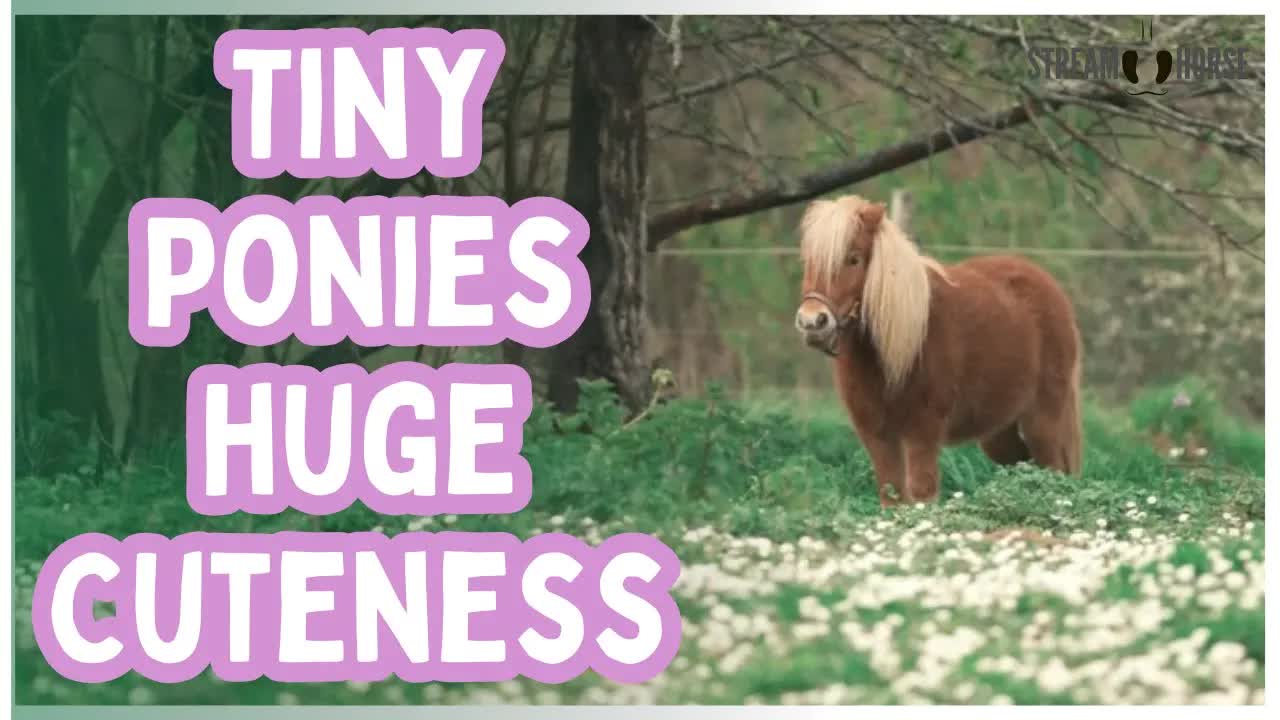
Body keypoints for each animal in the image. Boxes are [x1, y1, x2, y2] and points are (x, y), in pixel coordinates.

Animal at [793, 194, 1083, 506]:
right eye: (808, 261)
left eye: (853, 259)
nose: (812, 322)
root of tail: (1050, 287)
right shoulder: (877, 436)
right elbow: (892, 498)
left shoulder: (922, 434)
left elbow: (922, 495)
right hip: (999, 432)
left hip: (1042, 421)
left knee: (1053, 471)